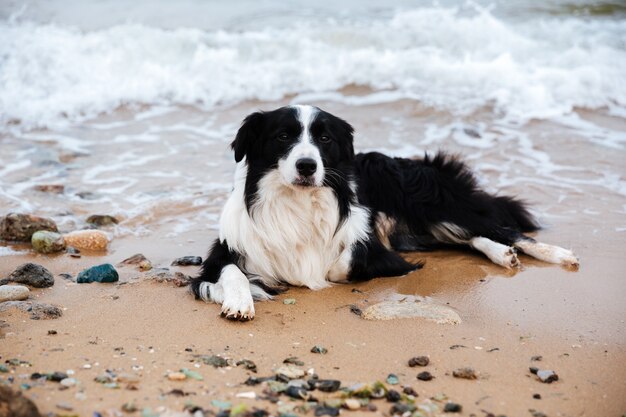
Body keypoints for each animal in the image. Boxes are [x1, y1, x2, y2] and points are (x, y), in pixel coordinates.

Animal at [188, 104, 576, 318]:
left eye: (325, 139)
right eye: (283, 136)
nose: (307, 166)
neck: (297, 201)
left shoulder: (372, 250)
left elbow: (343, 261)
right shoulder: (222, 254)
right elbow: (232, 274)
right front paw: (240, 303)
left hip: (432, 203)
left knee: (499, 228)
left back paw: (555, 253)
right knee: (467, 238)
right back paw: (502, 254)